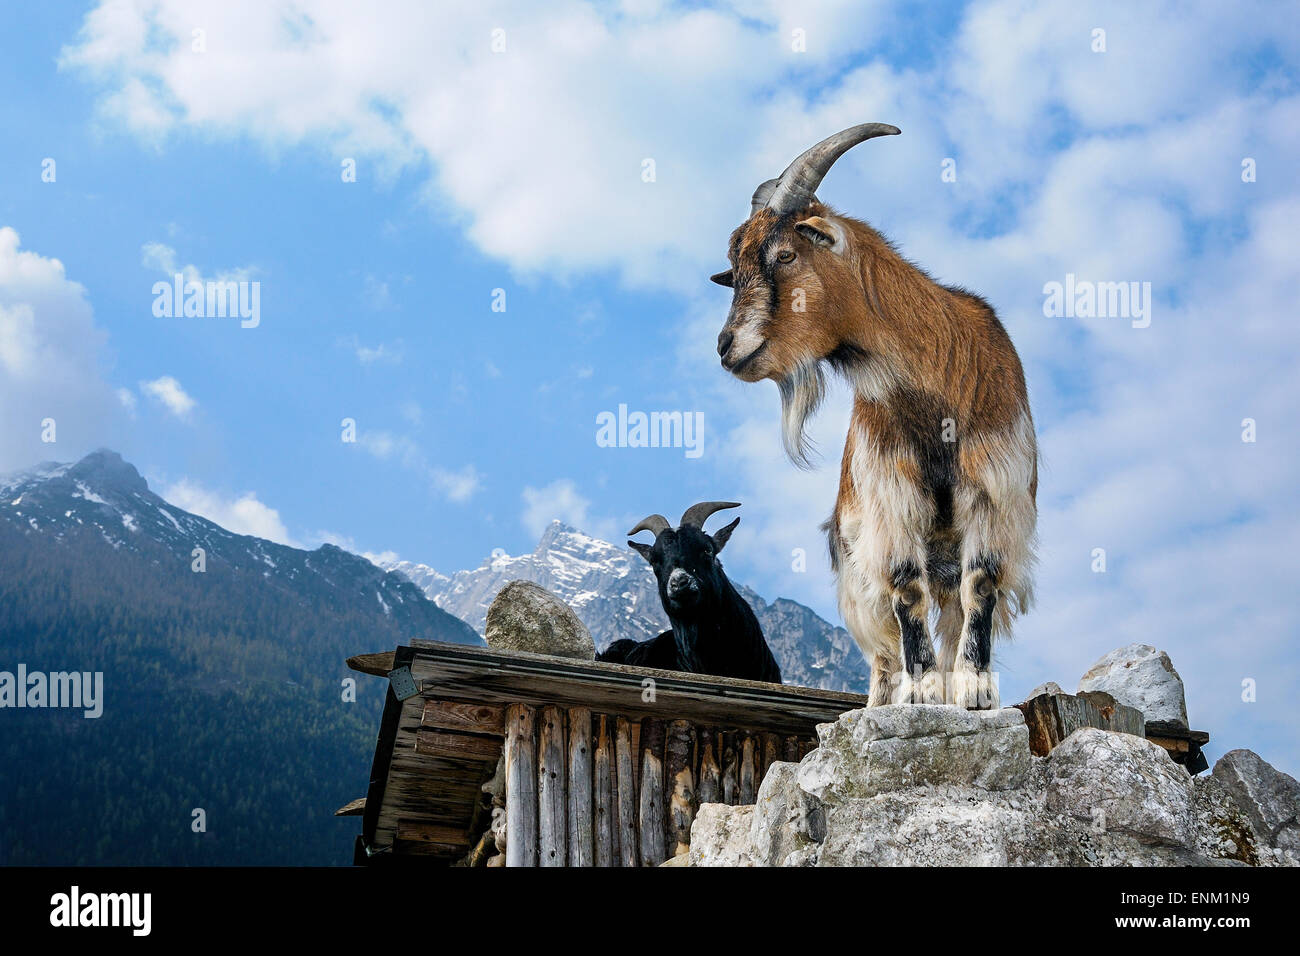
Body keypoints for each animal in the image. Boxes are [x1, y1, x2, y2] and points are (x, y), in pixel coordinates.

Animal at [712, 123, 1034, 707]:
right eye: (738, 268)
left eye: (786, 255)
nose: (727, 348)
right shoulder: (889, 495)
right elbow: (906, 588)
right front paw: (922, 691)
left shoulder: (995, 488)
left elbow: (982, 583)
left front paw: (974, 689)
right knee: (883, 652)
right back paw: (887, 696)